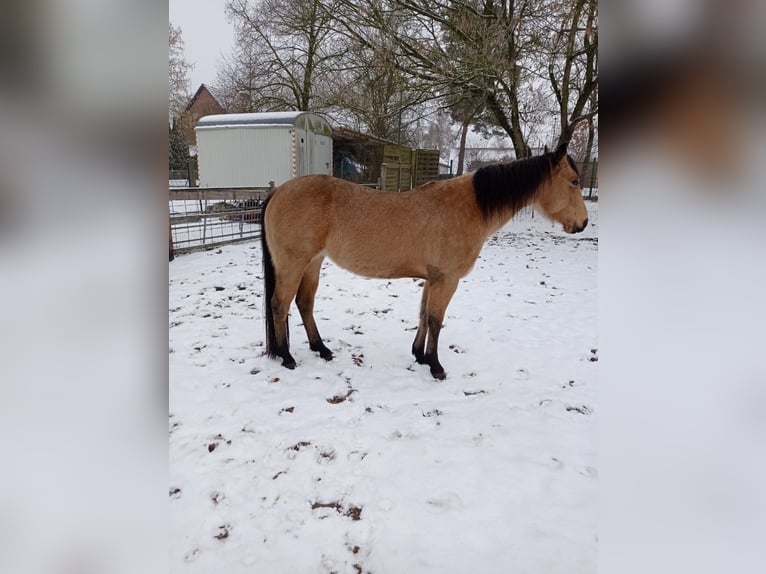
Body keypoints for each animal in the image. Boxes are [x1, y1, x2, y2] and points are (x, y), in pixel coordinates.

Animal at [260, 141, 588, 379]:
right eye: (573, 181)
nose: (582, 223)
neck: (470, 206)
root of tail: (278, 191)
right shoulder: (447, 279)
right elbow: (436, 319)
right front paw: (435, 365)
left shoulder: (433, 278)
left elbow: (422, 315)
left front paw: (419, 355)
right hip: (294, 264)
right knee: (280, 304)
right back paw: (287, 357)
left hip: (313, 263)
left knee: (304, 303)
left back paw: (321, 349)